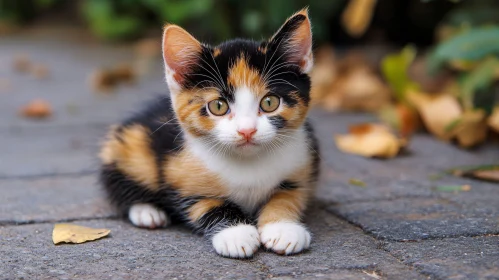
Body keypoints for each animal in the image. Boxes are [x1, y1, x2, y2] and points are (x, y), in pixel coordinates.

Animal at [99, 8, 320, 258]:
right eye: (218, 106)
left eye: (270, 102)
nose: (247, 130)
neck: (248, 163)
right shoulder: (180, 175)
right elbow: (209, 205)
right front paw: (237, 234)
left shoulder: (303, 162)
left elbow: (288, 196)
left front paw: (283, 228)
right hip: (130, 143)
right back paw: (147, 212)